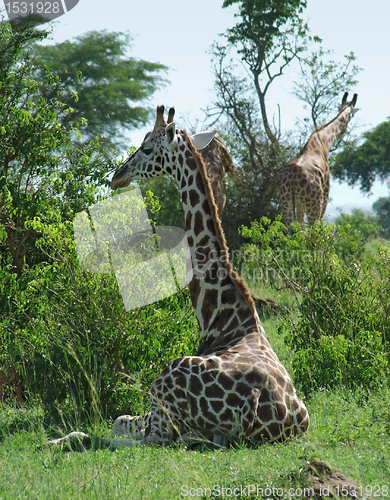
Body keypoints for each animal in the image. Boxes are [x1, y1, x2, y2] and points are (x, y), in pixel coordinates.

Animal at [106, 104, 308, 446]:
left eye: (146, 148)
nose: (116, 177)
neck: (220, 316)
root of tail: (254, 404)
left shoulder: (155, 414)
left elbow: (118, 420)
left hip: (165, 388)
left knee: (134, 439)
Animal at [278, 93, 358, 226]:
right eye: (351, 115)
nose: (345, 129)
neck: (323, 141)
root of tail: (293, 183)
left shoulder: (299, 206)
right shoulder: (325, 194)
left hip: (286, 204)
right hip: (314, 205)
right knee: (313, 228)